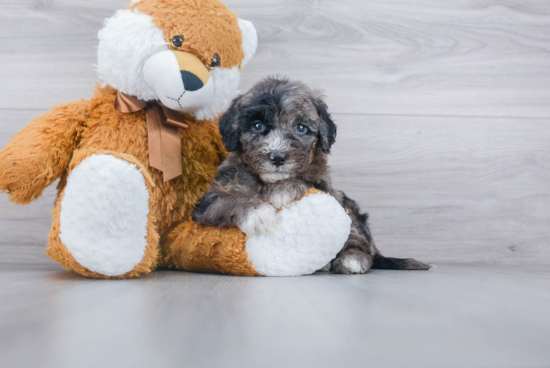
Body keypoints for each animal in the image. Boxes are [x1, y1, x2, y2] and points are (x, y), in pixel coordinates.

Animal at [194, 77, 432, 274]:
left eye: (301, 128)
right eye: (257, 126)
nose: (277, 157)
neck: (267, 182)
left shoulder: (325, 187)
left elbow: (305, 180)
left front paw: (284, 189)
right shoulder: (208, 201)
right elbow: (227, 202)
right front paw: (258, 212)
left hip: (350, 212)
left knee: (360, 244)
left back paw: (352, 260)